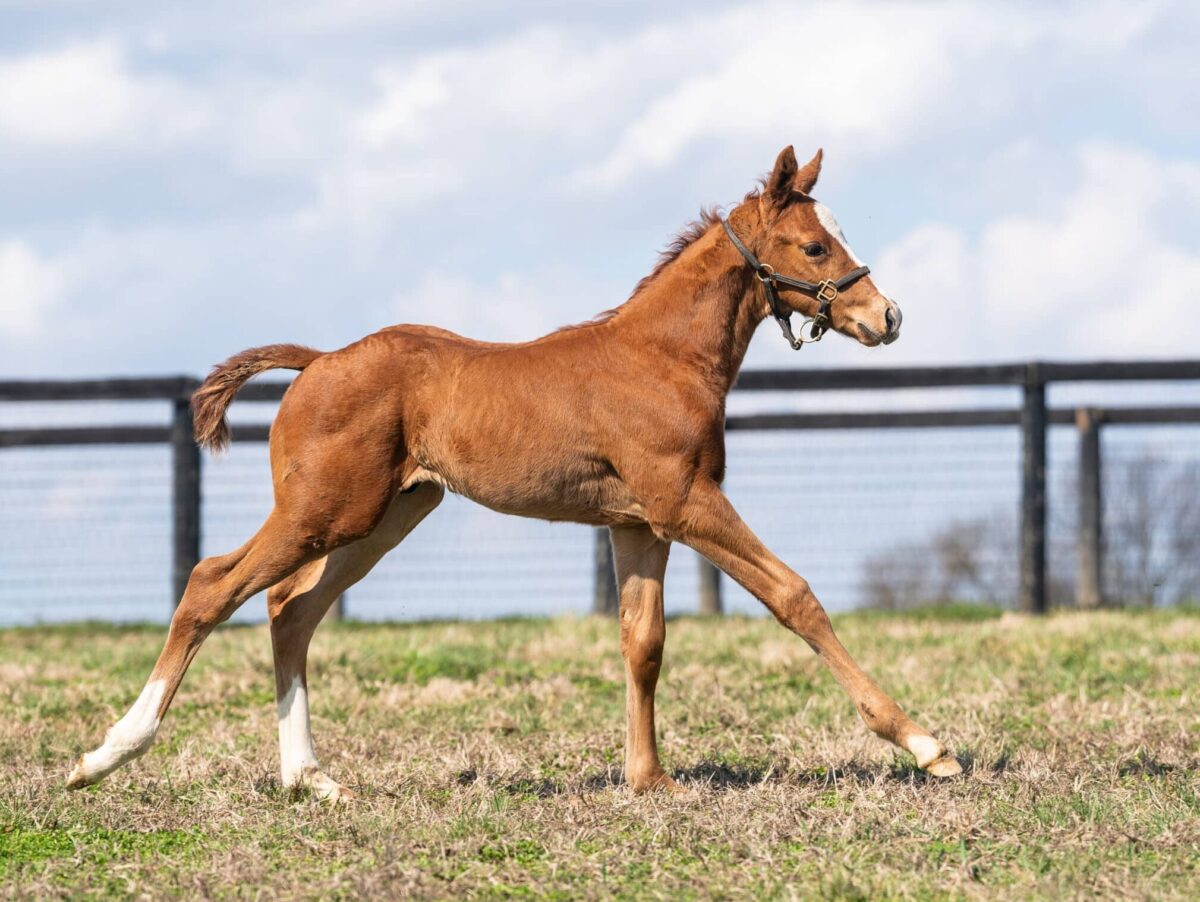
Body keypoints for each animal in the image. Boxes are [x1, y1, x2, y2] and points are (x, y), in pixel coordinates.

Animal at [70, 144, 960, 801]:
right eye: (814, 246)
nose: (886, 316)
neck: (661, 358)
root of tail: (318, 361)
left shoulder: (636, 522)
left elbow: (644, 641)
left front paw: (649, 779)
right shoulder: (684, 501)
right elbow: (794, 596)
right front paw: (924, 743)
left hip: (387, 516)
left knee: (291, 610)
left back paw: (310, 779)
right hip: (324, 510)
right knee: (213, 584)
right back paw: (107, 755)